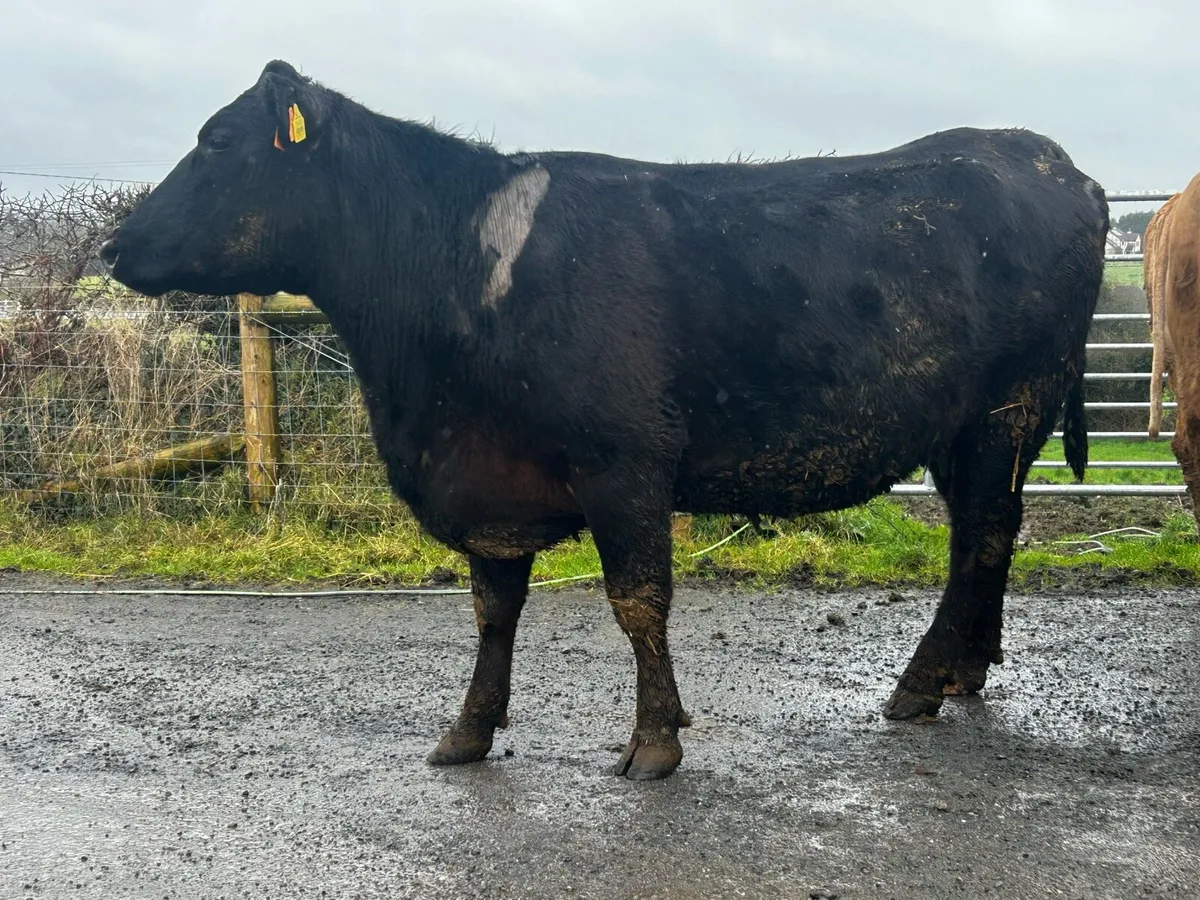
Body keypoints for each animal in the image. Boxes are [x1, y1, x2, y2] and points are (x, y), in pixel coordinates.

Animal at [100, 60, 1109, 781]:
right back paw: (966, 671)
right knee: (989, 533)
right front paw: (468, 731)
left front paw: (655, 741)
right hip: (969, 428)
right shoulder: (491, 477)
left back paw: (919, 684)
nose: (112, 244)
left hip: (1007, 408)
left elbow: (637, 602)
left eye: (218, 139)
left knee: (982, 535)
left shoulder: (624, 460)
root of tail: (1048, 157)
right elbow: (492, 609)